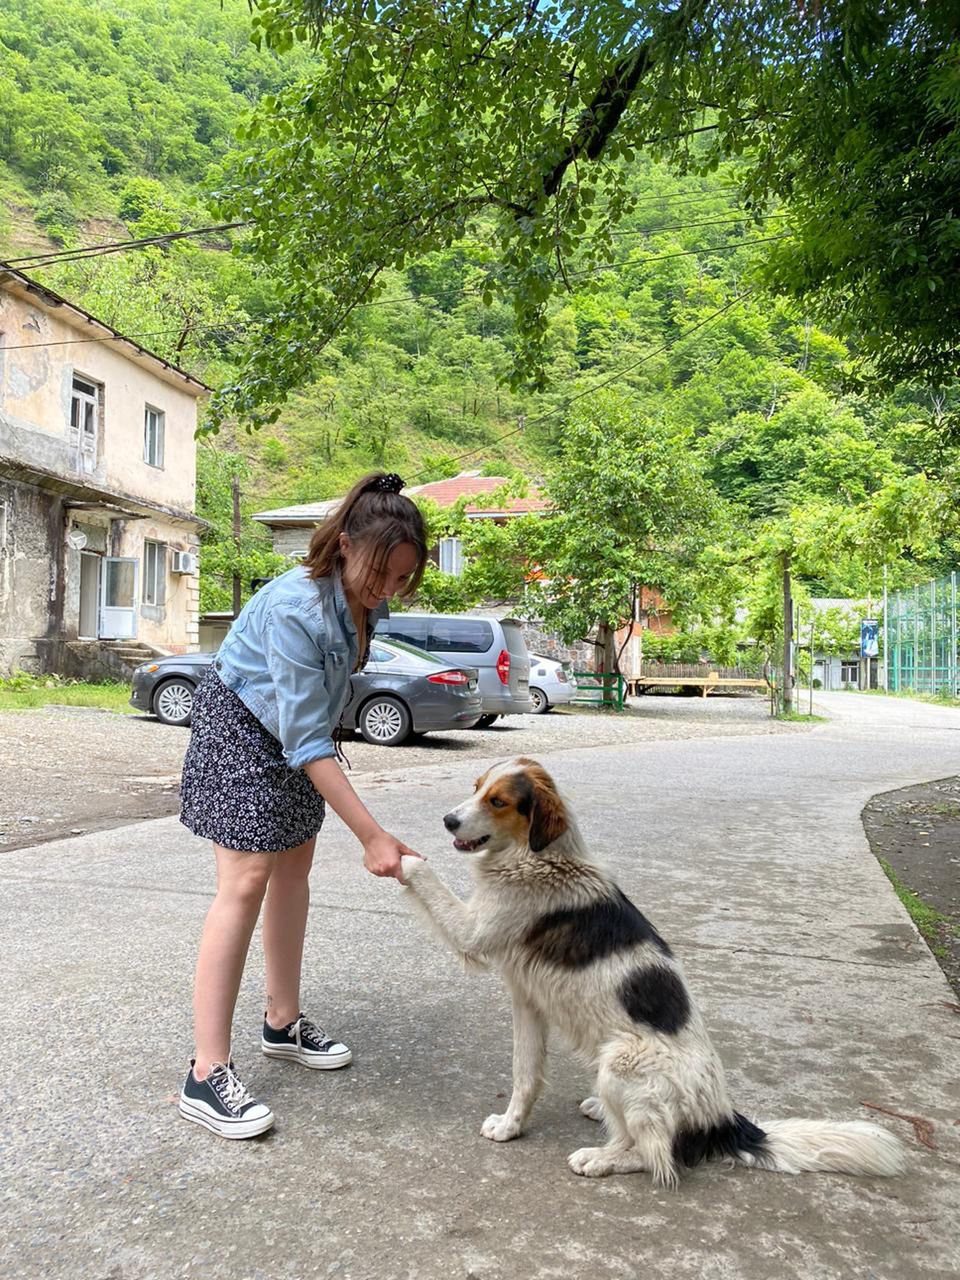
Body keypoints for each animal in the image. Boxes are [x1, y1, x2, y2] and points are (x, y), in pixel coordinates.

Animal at [401, 752, 911, 1182]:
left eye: (498, 801)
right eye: (475, 787)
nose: (448, 820)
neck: (540, 856)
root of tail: (723, 1120)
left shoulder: (471, 932)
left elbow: (423, 875)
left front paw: (401, 858)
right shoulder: (528, 1003)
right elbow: (525, 1077)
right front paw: (511, 1126)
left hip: (619, 1062)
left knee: (656, 1155)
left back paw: (601, 1158)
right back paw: (598, 1113)